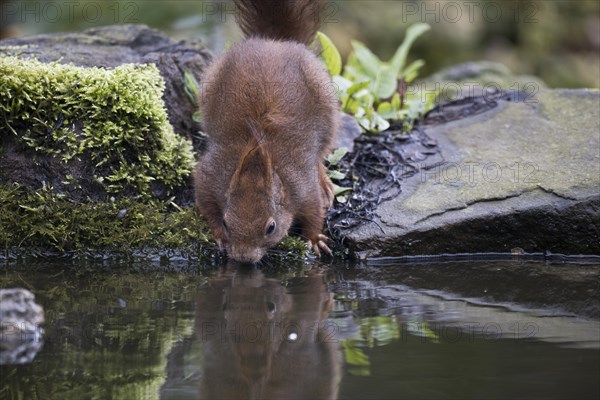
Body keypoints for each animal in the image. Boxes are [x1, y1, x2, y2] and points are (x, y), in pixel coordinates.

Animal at [196, 0, 340, 262]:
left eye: (270, 227)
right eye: (227, 222)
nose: (243, 258)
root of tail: (275, 41)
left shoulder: (302, 184)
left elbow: (314, 211)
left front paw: (314, 238)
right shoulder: (213, 174)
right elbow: (204, 199)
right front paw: (219, 235)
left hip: (328, 107)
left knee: (322, 152)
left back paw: (325, 182)